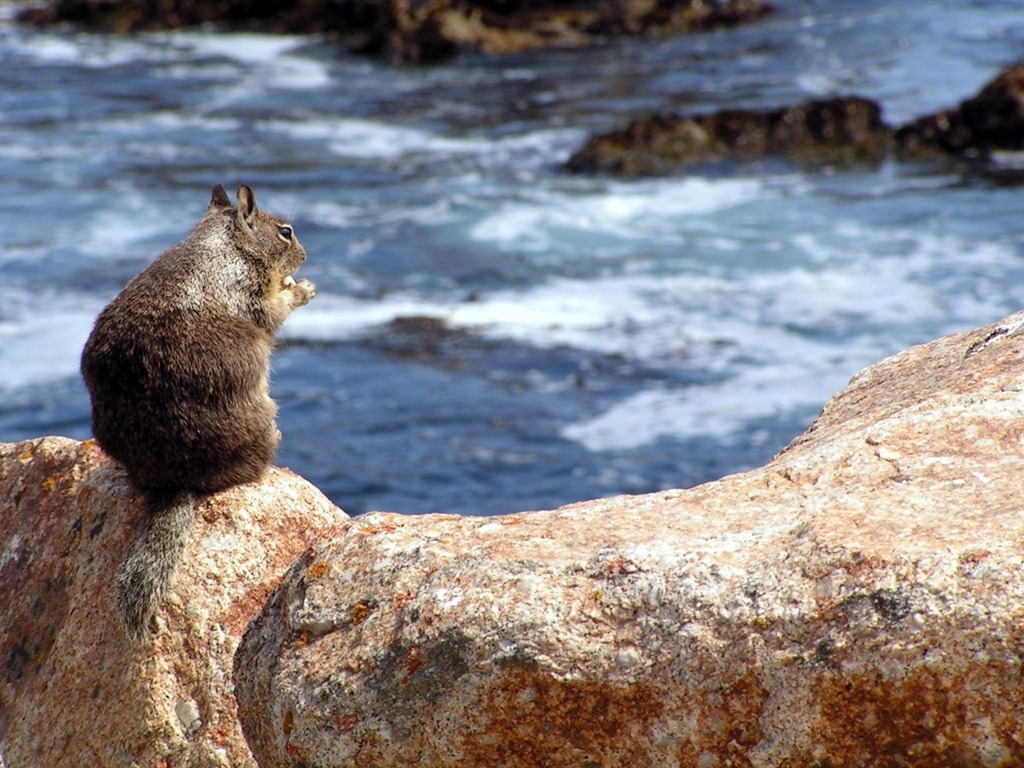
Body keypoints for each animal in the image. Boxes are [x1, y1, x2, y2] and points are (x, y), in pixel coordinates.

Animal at [80, 183, 315, 638]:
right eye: (286, 232)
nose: (305, 255)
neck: (224, 243)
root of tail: (174, 480)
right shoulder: (249, 291)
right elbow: (272, 311)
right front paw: (302, 288)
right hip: (260, 416)